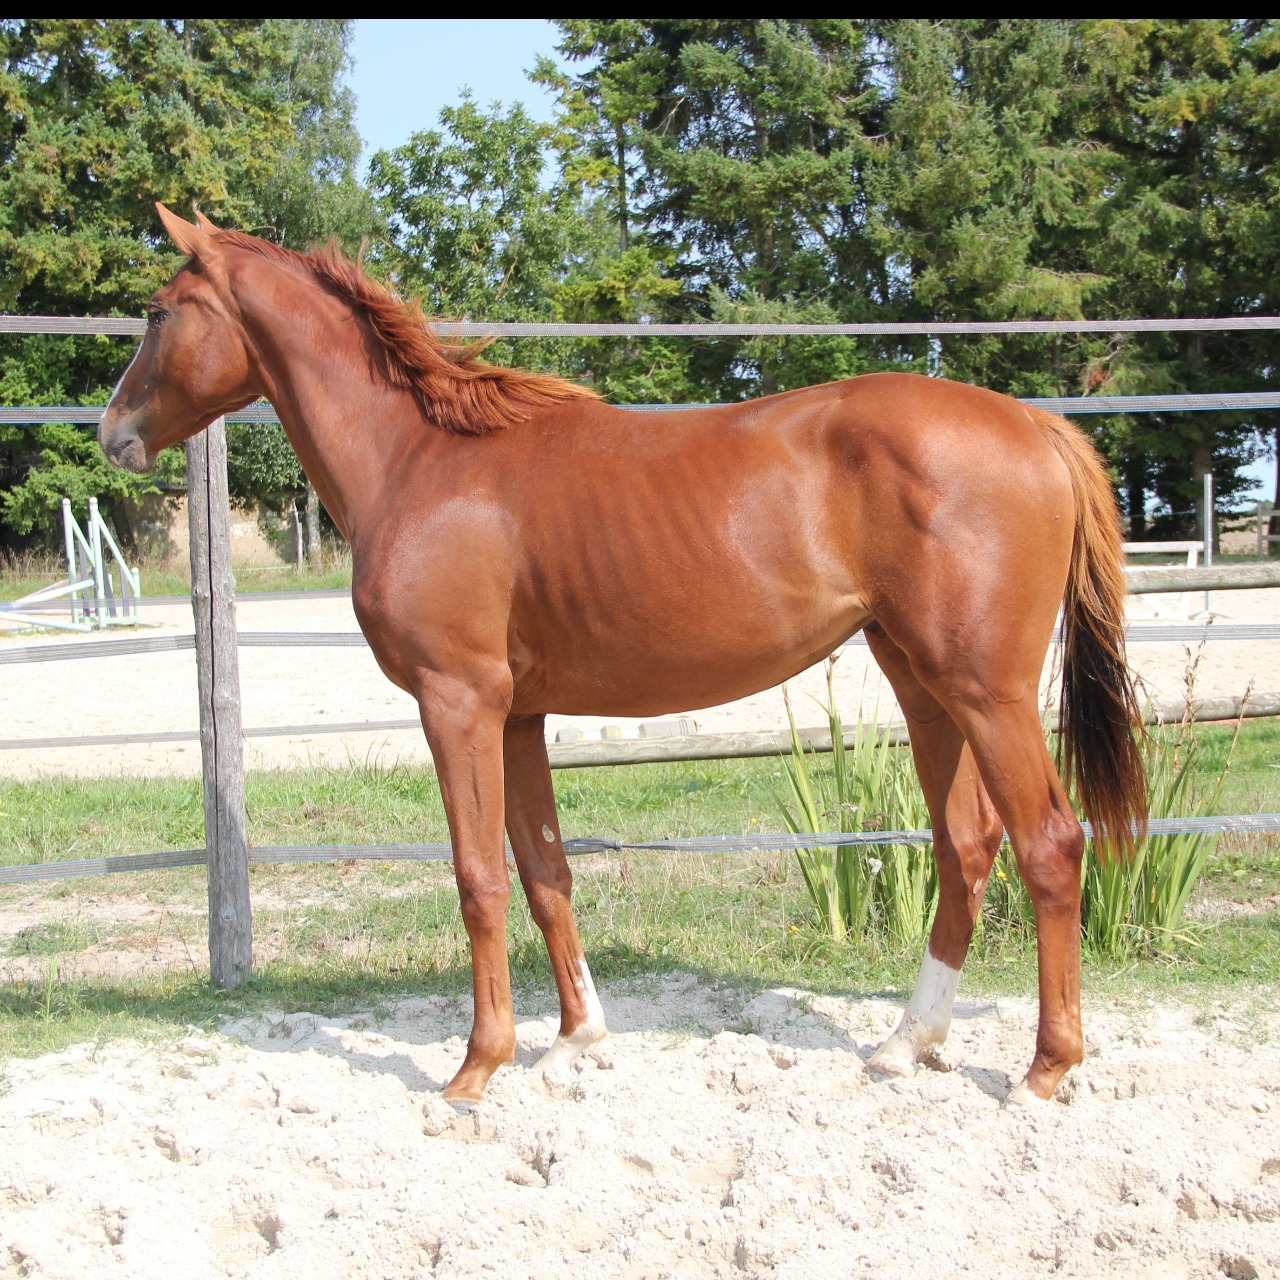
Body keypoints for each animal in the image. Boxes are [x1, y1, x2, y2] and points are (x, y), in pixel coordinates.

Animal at [97, 204, 1141, 1105]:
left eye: (156, 310)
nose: (112, 434)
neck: (420, 460)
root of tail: (1034, 424)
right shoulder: (516, 714)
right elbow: (544, 874)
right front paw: (574, 1040)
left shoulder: (456, 702)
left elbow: (478, 880)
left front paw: (477, 1067)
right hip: (926, 687)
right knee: (966, 846)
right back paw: (904, 1044)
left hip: (987, 693)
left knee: (1052, 844)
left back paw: (1046, 1068)